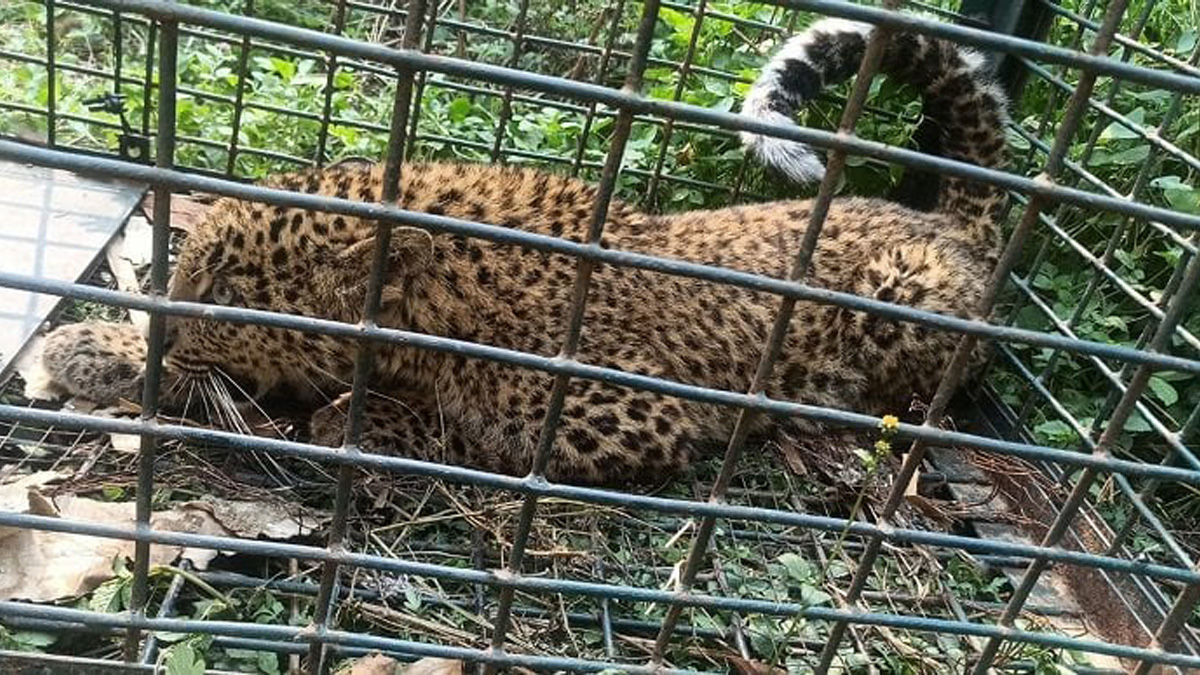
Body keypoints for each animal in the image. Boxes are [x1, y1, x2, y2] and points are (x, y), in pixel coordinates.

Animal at [42, 21, 1008, 482]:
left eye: (228, 291)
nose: (171, 333)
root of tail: (953, 222)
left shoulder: (628, 412)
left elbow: (467, 425)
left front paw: (360, 418)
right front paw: (94, 343)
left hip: (908, 301)